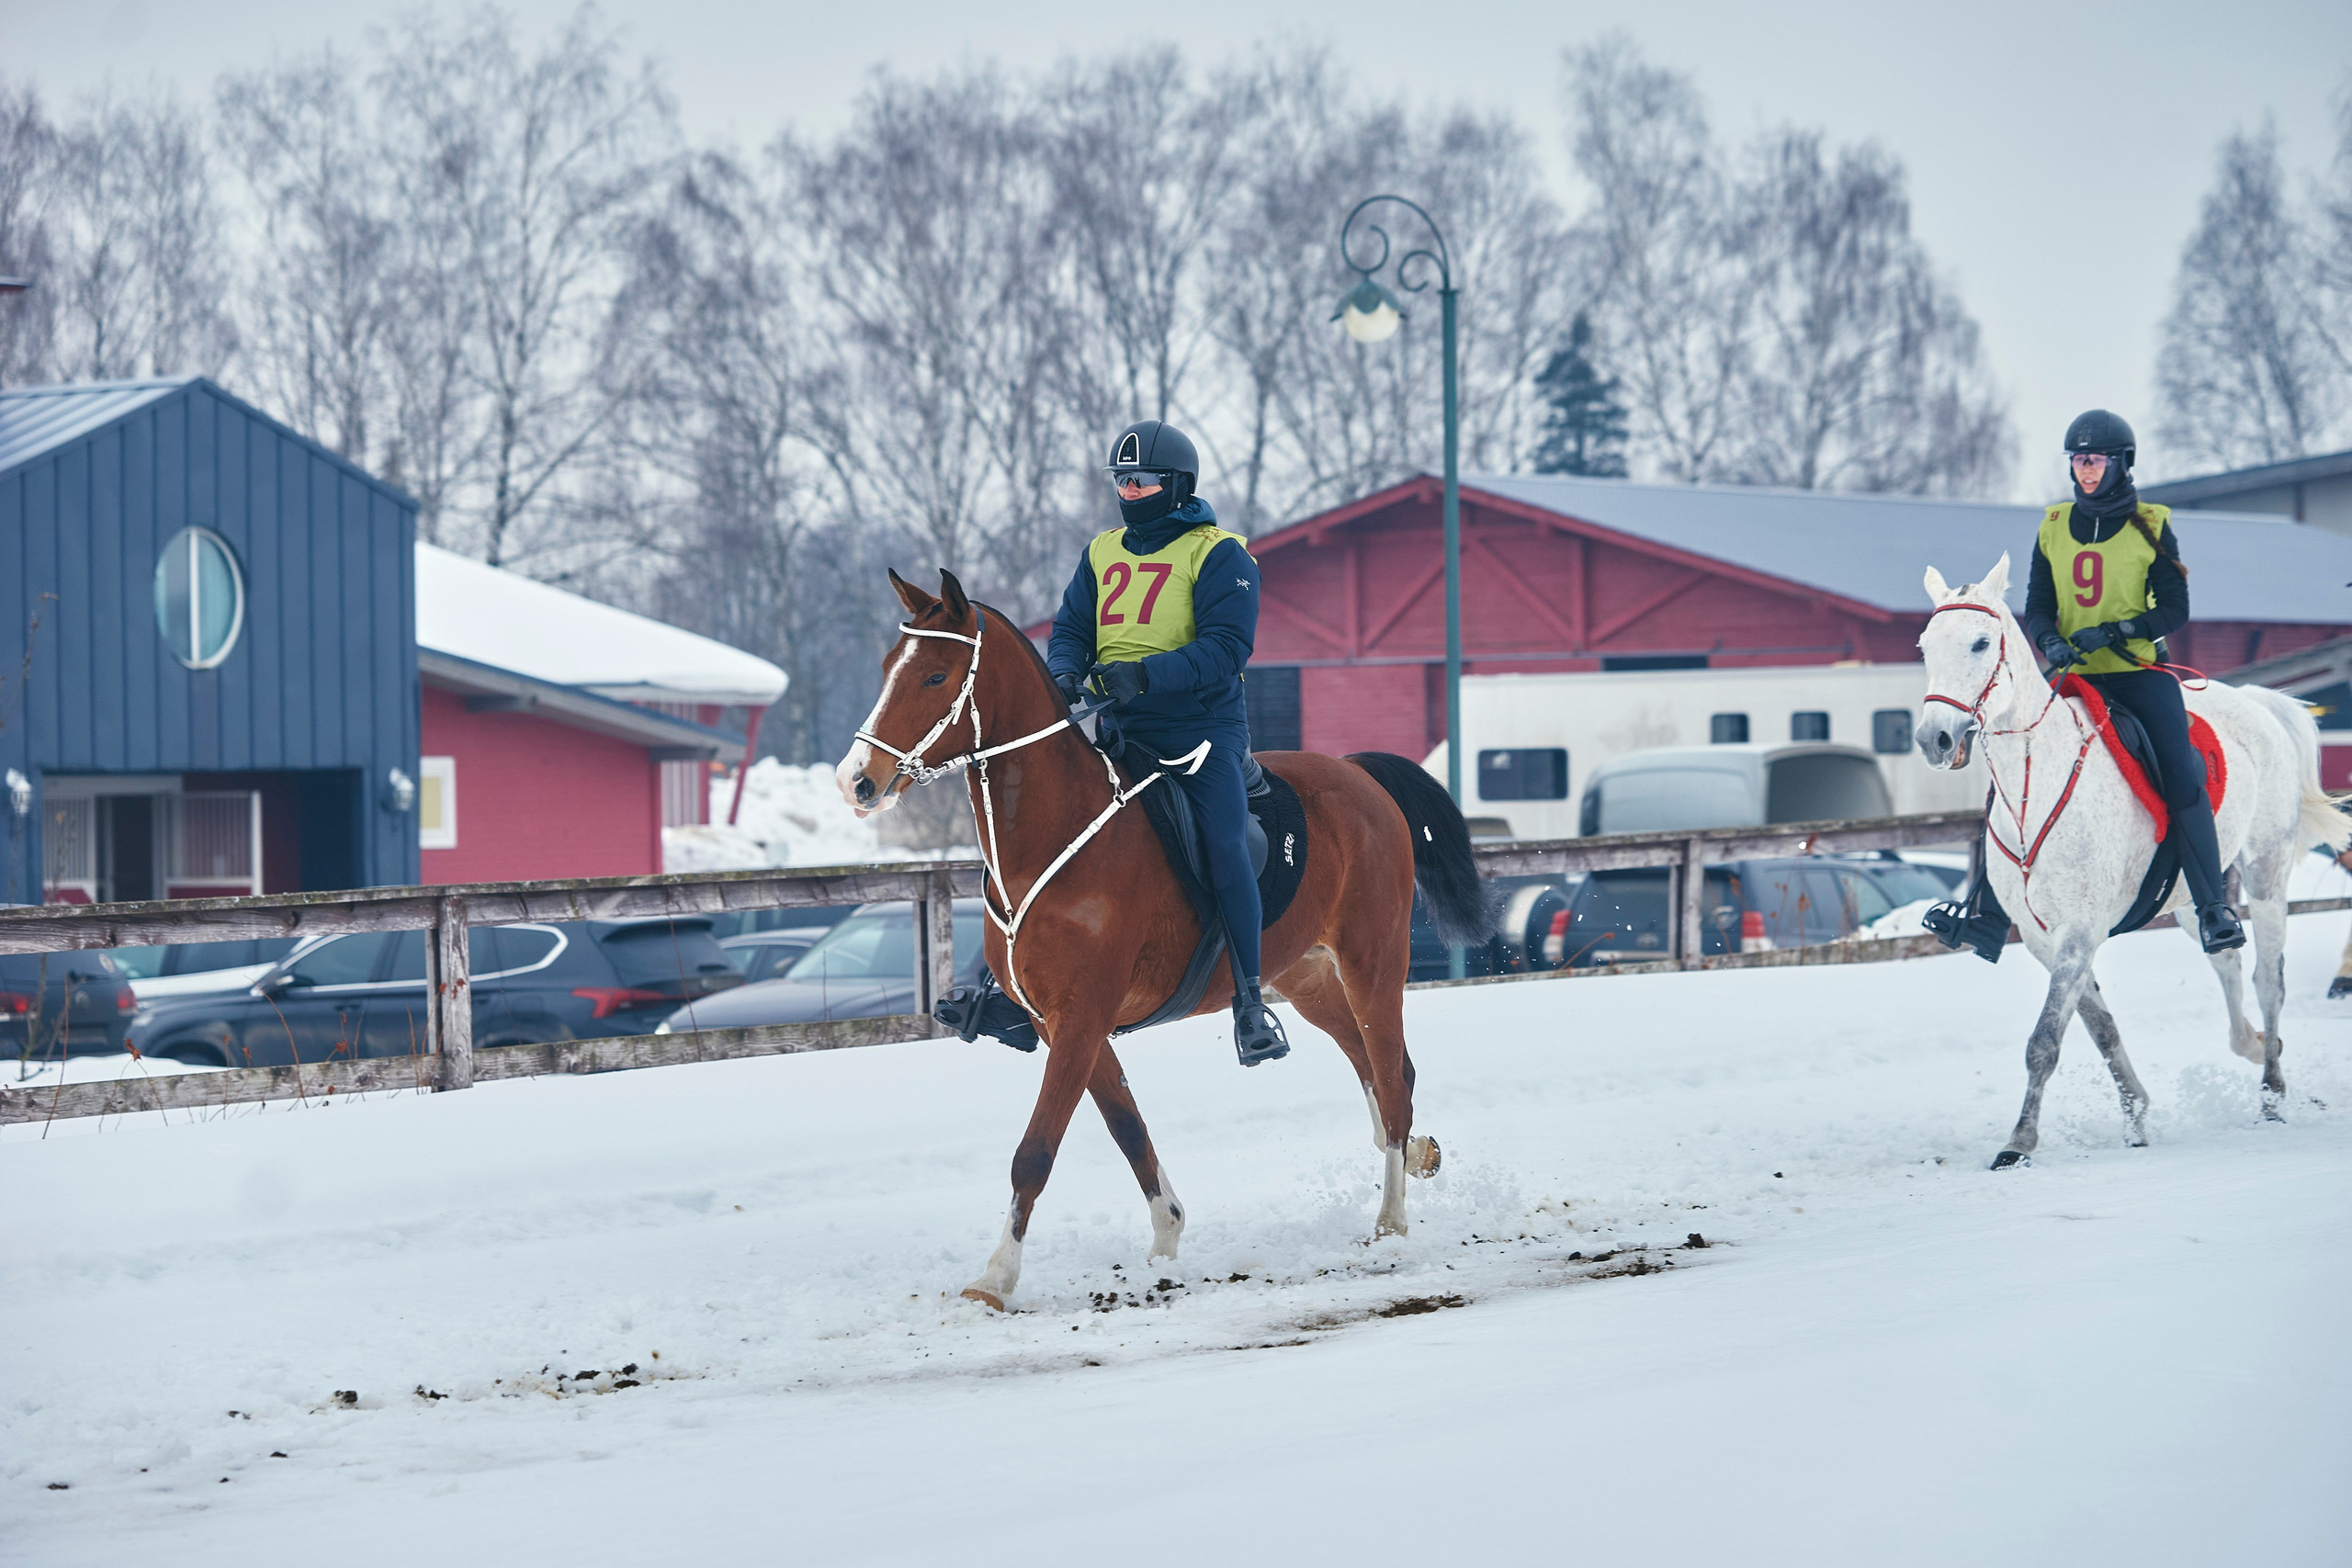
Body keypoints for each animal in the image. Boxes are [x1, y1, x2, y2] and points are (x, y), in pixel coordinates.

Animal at [835, 569, 1490, 1309]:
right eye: (890, 668)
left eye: (936, 675)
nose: (857, 781)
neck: (1054, 836)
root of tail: (1357, 774)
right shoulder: (1066, 1026)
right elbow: (1127, 1129)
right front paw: (1167, 1239)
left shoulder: (1083, 1017)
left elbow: (1035, 1151)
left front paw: (995, 1278)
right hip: (1308, 979)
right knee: (1380, 1071)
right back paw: (1416, 1153)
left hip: (1372, 963)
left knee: (1392, 1076)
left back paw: (1391, 1223)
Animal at [1913, 554, 2349, 1168]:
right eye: (1926, 646)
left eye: (1980, 643)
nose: (1935, 738)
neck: (2035, 786)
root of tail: (2254, 699)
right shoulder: (2045, 939)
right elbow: (2100, 1029)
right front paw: (2136, 1115)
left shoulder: (2079, 932)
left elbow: (2044, 1041)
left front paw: (2018, 1143)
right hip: (2195, 898)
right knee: (2226, 958)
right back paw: (2255, 1043)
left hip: (2267, 872)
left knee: (2269, 980)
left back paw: (2271, 1093)